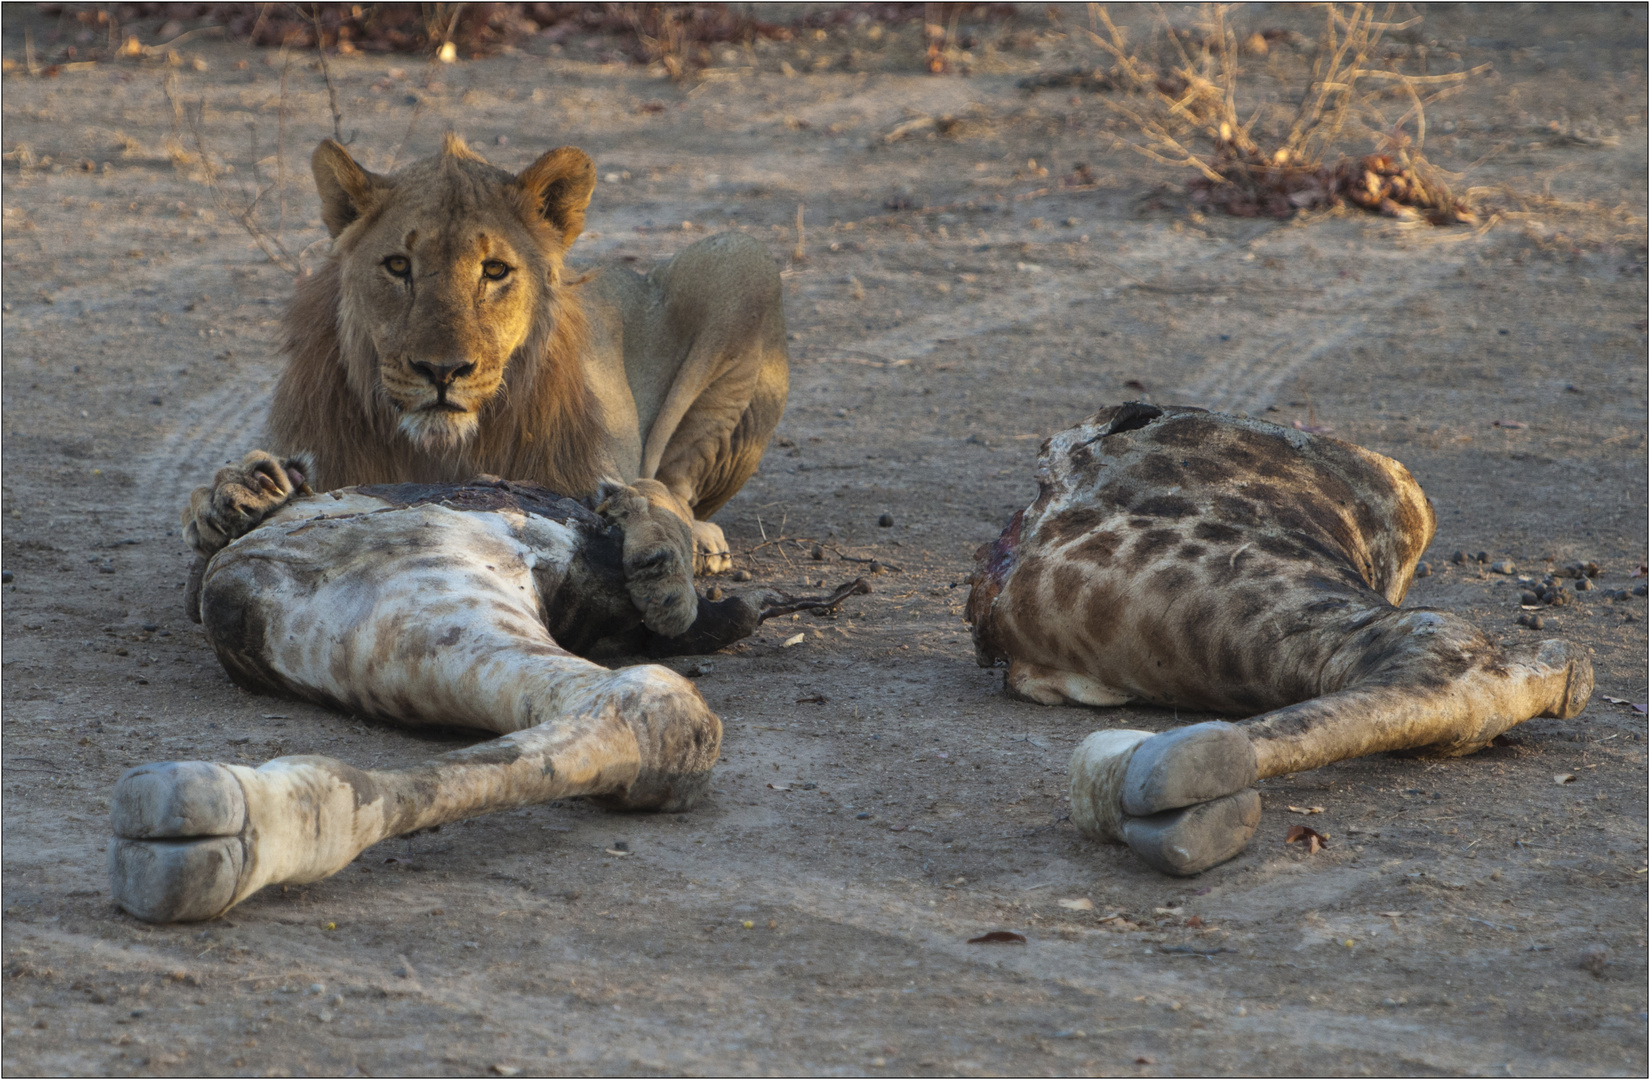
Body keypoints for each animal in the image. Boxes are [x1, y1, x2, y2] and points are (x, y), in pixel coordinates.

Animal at [189, 138, 782, 636]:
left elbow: (654, 499)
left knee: (679, 482)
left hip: (745, 260)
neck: (442, 453)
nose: (442, 370)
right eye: (398, 265)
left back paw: (702, 544)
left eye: (494, 270)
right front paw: (229, 496)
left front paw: (666, 572)